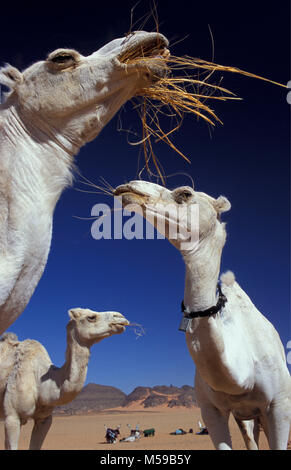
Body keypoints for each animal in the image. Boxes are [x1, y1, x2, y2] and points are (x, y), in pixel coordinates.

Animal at [114, 180, 291, 448]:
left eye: (185, 194)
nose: (129, 188)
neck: (242, 372)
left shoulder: (279, 405)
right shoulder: (211, 410)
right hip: (246, 416)